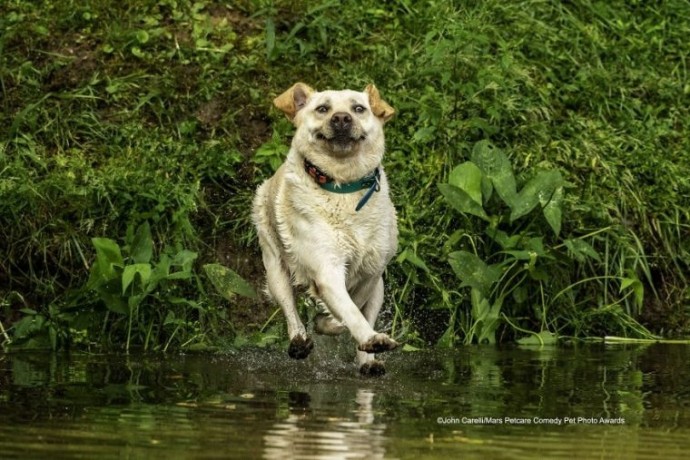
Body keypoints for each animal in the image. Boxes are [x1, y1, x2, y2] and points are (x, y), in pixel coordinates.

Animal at [251, 82, 398, 376]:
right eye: (322, 109)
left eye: (358, 108)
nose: (341, 118)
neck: (343, 186)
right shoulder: (325, 269)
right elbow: (348, 311)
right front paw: (340, 327)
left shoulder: (372, 273)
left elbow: (355, 309)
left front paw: (362, 340)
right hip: (274, 267)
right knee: (289, 308)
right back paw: (299, 341)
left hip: (379, 288)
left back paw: (369, 362)